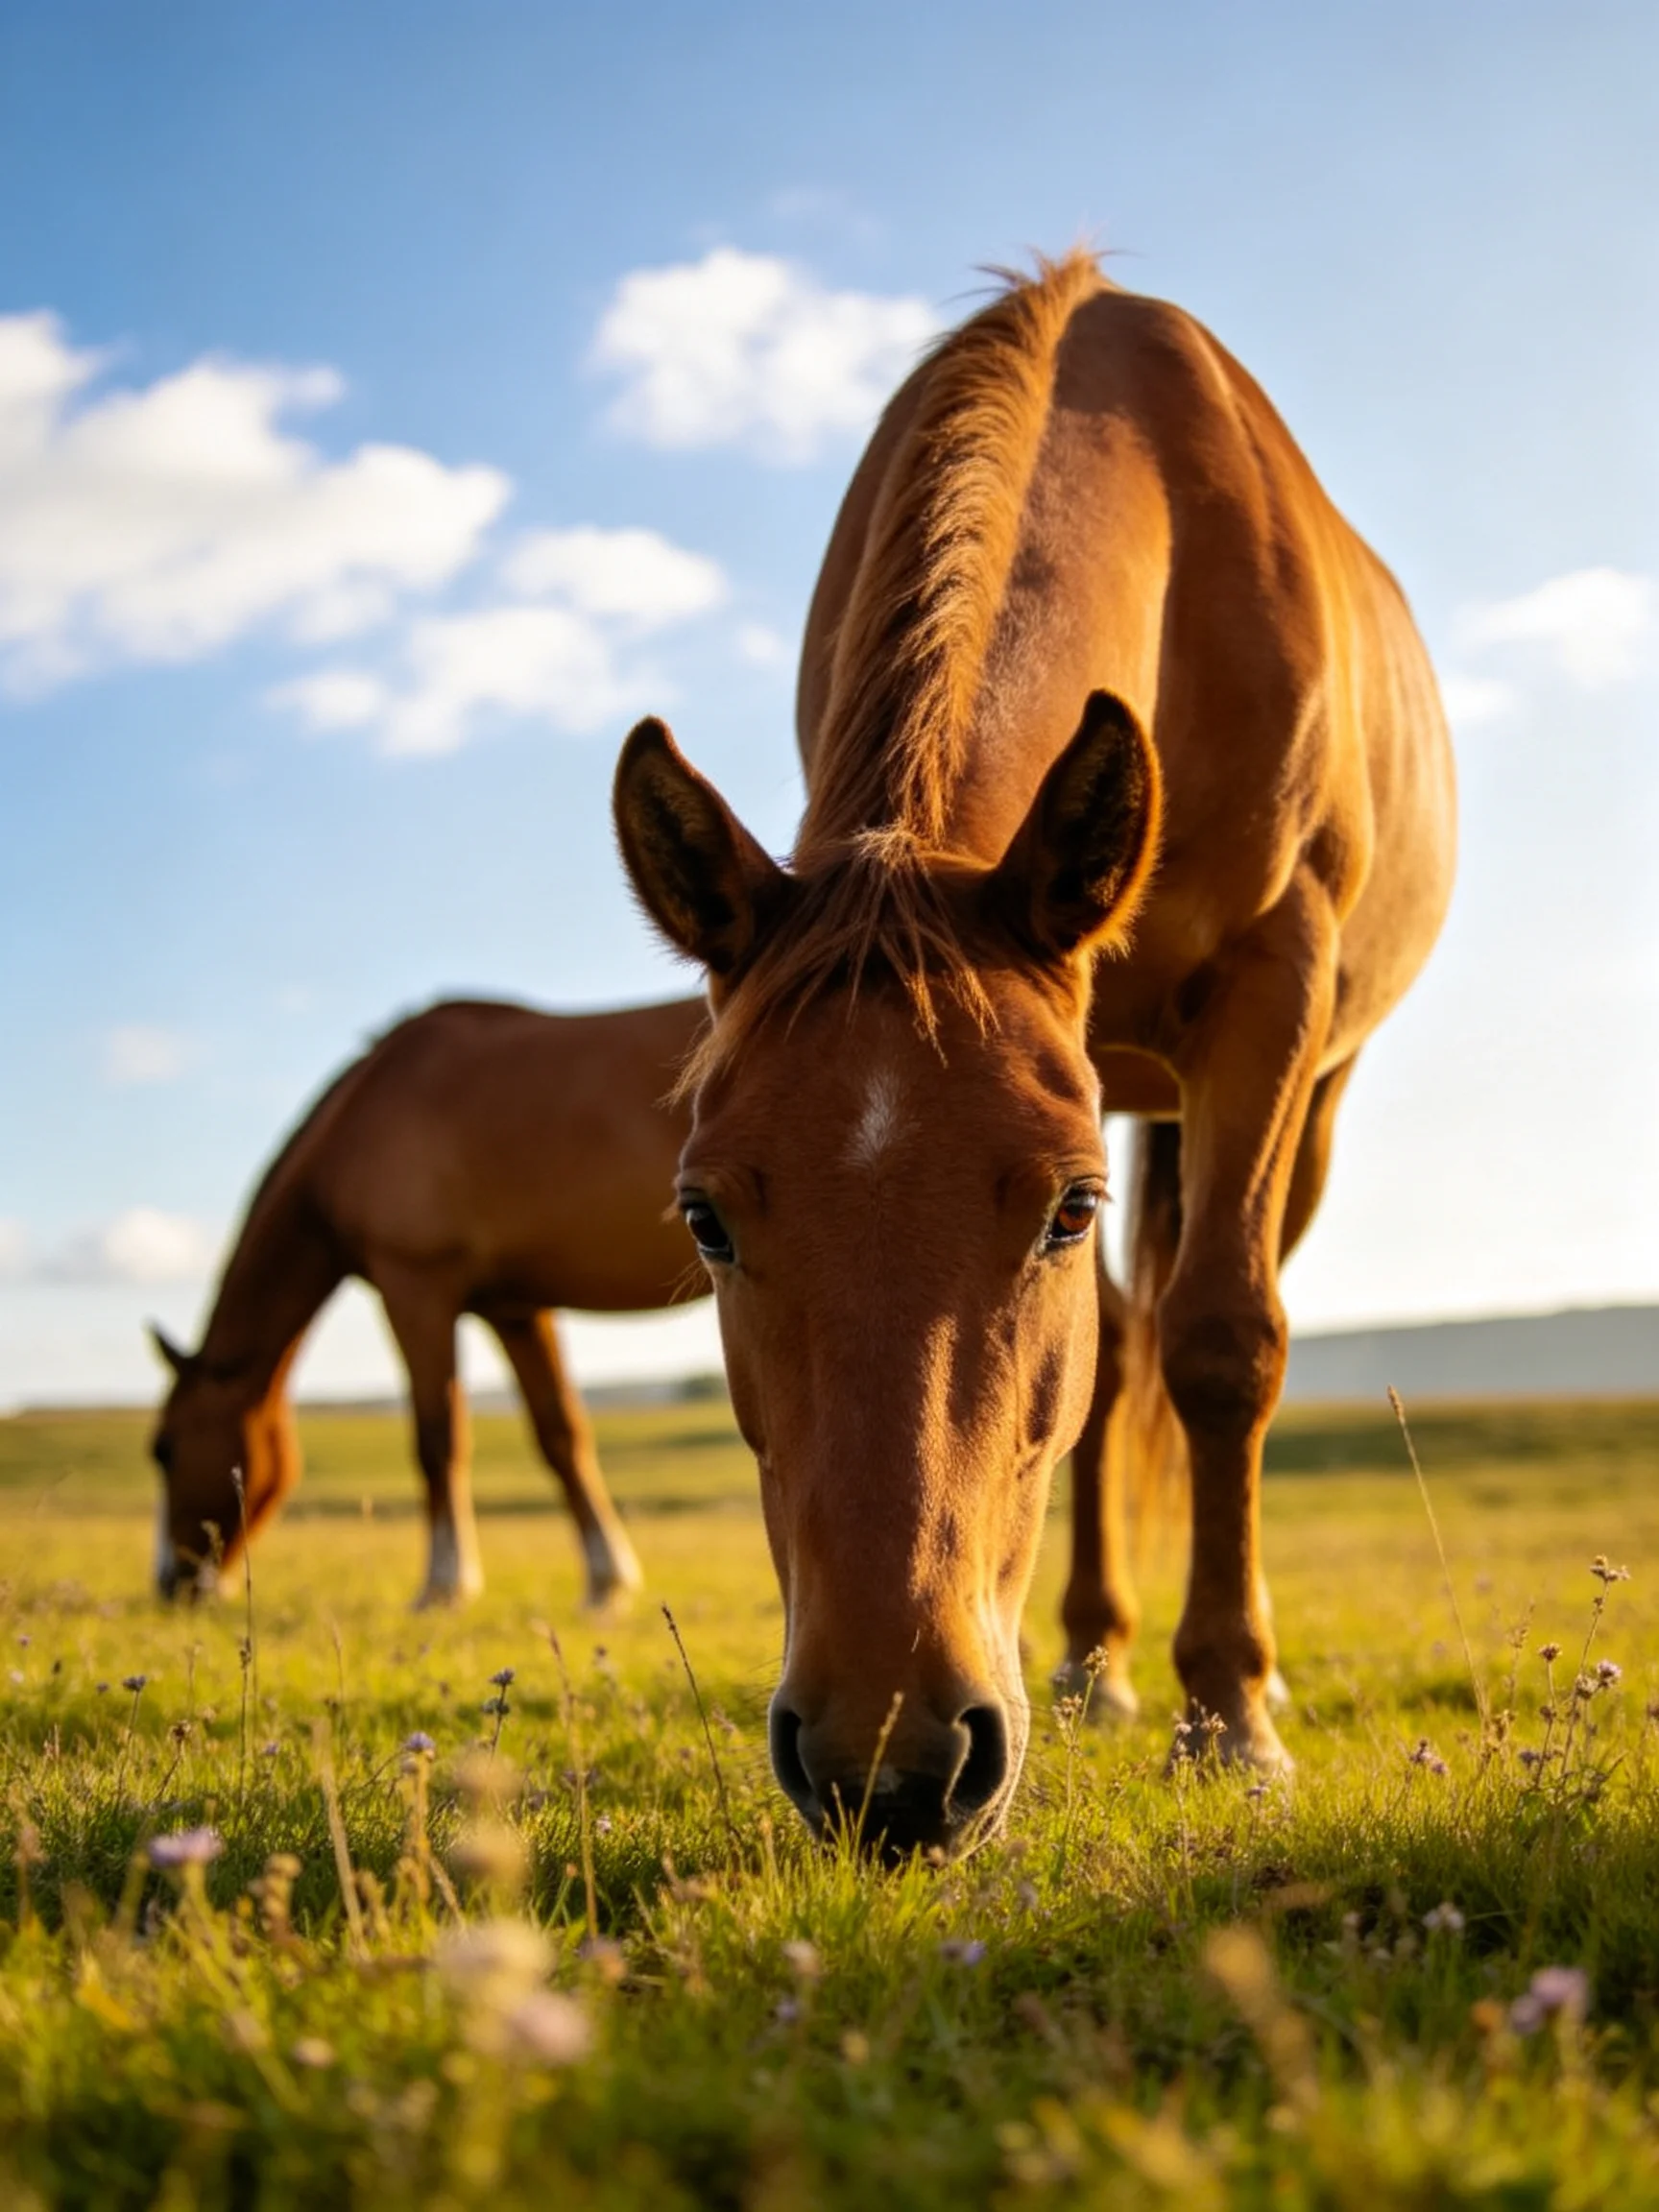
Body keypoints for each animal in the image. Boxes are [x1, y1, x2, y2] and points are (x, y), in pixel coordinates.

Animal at [149, 996, 704, 1607]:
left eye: (164, 1449)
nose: (170, 1584)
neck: (361, 1121)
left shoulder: (415, 1286)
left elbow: (437, 1437)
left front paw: (444, 1584)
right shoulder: (514, 1308)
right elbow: (560, 1434)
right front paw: (607, 1582)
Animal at [613, 251, 1456, 1857]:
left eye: (1066, 1209)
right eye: (703, 1219)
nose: (890, 1769)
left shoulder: (1270, 998)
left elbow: (1227, 1341)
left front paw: (1233, 1717)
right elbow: (1125, 1363)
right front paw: (1138, 1675)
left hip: (1300, 1094)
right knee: (1118, 1356)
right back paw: (1092, 1662)